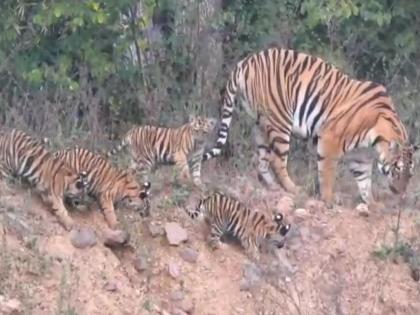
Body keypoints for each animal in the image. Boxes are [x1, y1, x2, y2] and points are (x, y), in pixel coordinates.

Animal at [203, 47, 416, 209]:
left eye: (410, 173)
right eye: (397, 169)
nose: (400, 192)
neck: (375, 143)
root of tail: (245, 62)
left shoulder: (360, 157)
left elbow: (364, 182)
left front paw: (373, 203)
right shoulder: (330, 138)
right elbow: (327, 173)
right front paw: (329, 199)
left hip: (260, 125)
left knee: (262, 160)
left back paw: (273, 187)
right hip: (280, 122)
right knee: (277, 160)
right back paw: (294, 189)